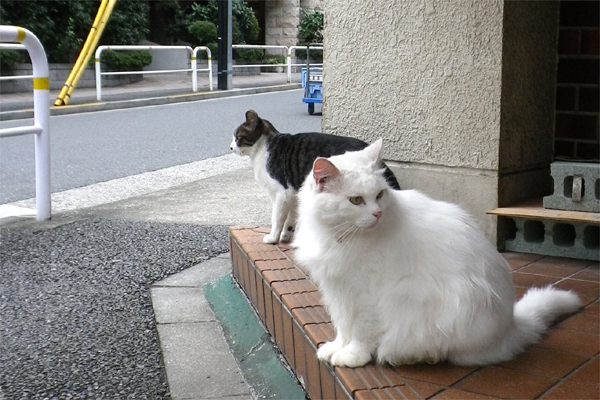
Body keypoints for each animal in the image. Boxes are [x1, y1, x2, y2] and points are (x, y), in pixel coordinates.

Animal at [232, 109, 400, 244]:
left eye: (237, 137)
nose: (231, 147)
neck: (264, 147)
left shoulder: (281, 194)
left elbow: (277, 218)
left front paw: (273, 238)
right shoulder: (293, 194)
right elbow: (291, 218)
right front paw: (286, 236)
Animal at [292, 139, 580, 368]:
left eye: (380, 194)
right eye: (356, 200)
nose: (377, 213)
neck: (337, 238)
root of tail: (511, 326)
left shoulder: (367, 297)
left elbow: (361, 332)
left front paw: (352, 356)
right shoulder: (338, 292)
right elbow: (343, 327)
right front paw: (334, 348)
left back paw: (410, 356)